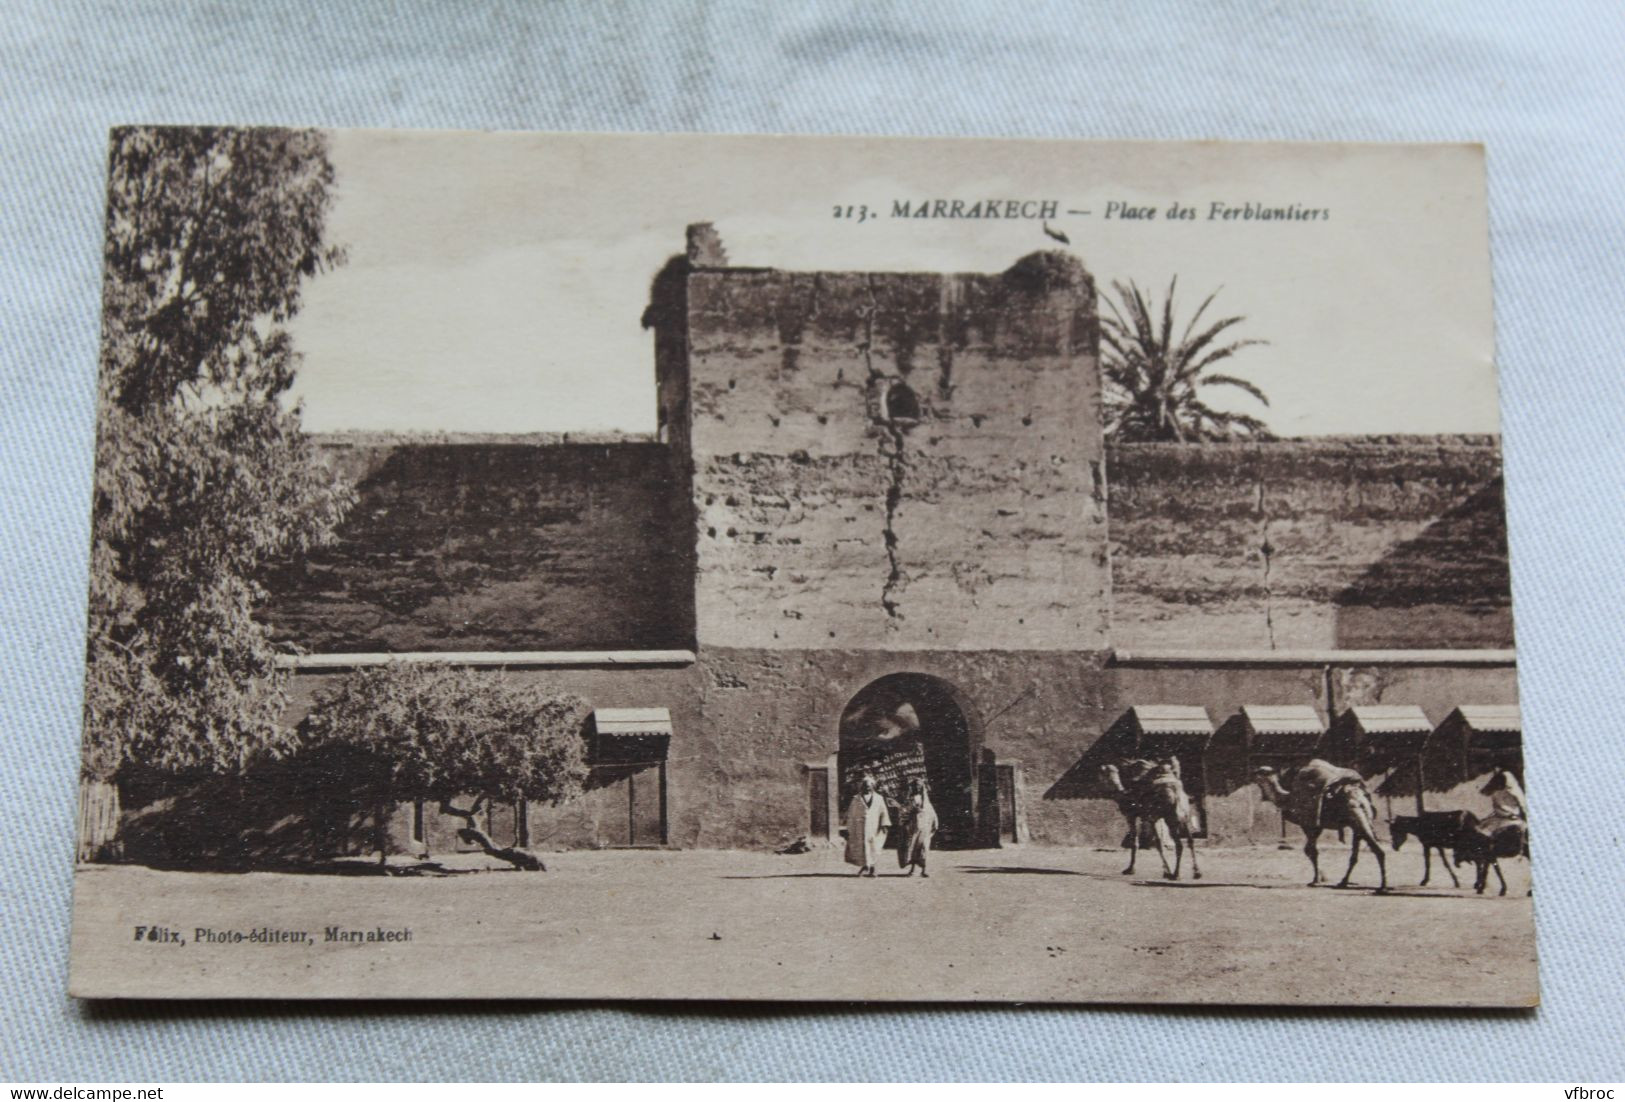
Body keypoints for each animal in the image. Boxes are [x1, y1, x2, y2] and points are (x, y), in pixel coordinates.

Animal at [1254, 763, 1384, 890]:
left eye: (1262, 771)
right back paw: (1344, 882)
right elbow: (1311, 850)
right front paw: (1321, 878)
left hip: (1354, 814)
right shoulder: (1317, 827)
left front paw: (1317, 880)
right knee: (1357, 853)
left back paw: (1382, 887)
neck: (1288, 798)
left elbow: (1310, 850)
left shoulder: (1309, 825)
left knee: (1373, 848)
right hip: (1360, 818)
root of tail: (1360, 796)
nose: (1253, 773)